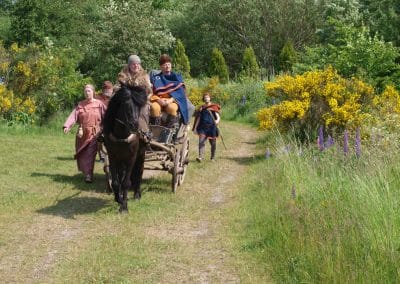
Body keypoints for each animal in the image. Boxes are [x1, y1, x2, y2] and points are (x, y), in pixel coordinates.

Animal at [102, 83, 148, 212]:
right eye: (127, 105)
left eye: (139, 106)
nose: (135, 125)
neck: (121, 136)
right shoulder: (112, 156)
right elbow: (116, 182)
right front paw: (119, 199)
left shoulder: (131, 158)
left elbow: (126, 182)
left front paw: (124, 207)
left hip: (141, 155)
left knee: (139, 172)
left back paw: (137, 194)